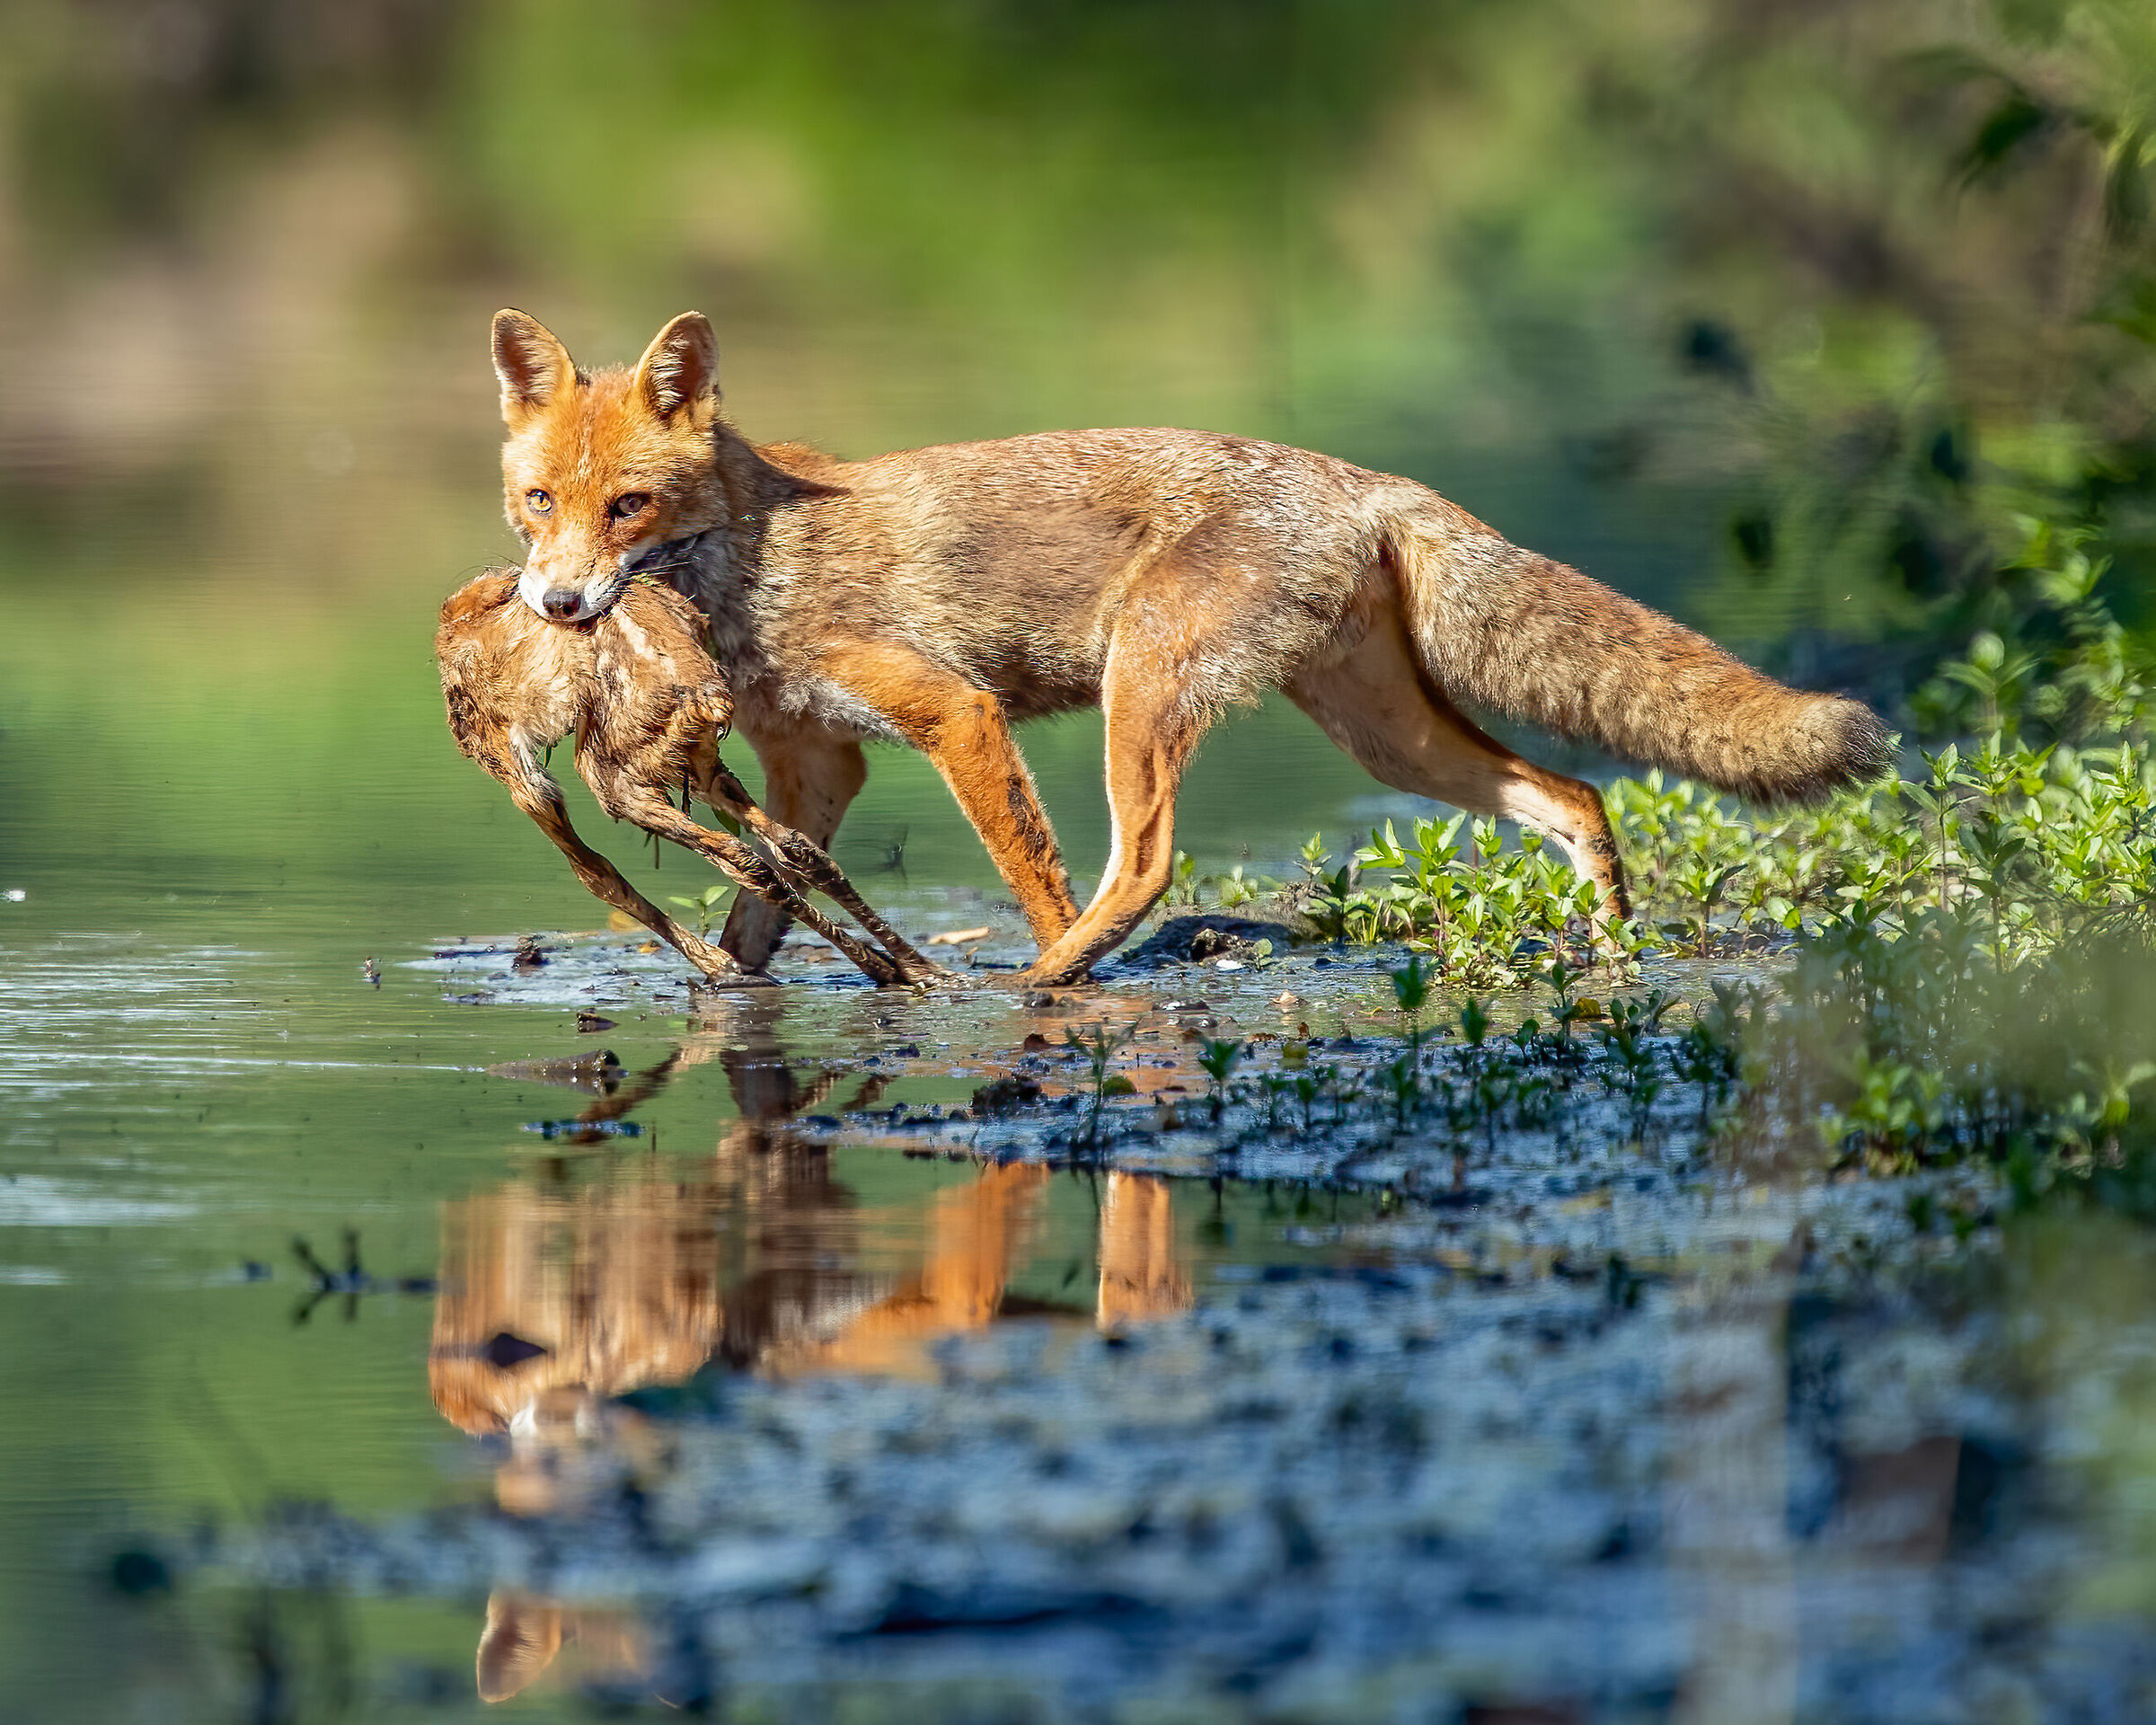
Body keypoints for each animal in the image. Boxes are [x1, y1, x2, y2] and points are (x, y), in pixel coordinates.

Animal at [490, 308, 1892, 985]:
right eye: (538, 503)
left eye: (629, 507)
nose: (555, 607)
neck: (757, 563)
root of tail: (1363, 478)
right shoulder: (818, 766)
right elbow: (755, 920)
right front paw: (730, 1005)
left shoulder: (953, 714)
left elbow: (1030, 869)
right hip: (1387, 744)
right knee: (1577, 795)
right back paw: (1612, 951)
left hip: (1145, 689)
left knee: (1143, 866)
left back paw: (1049, 981)